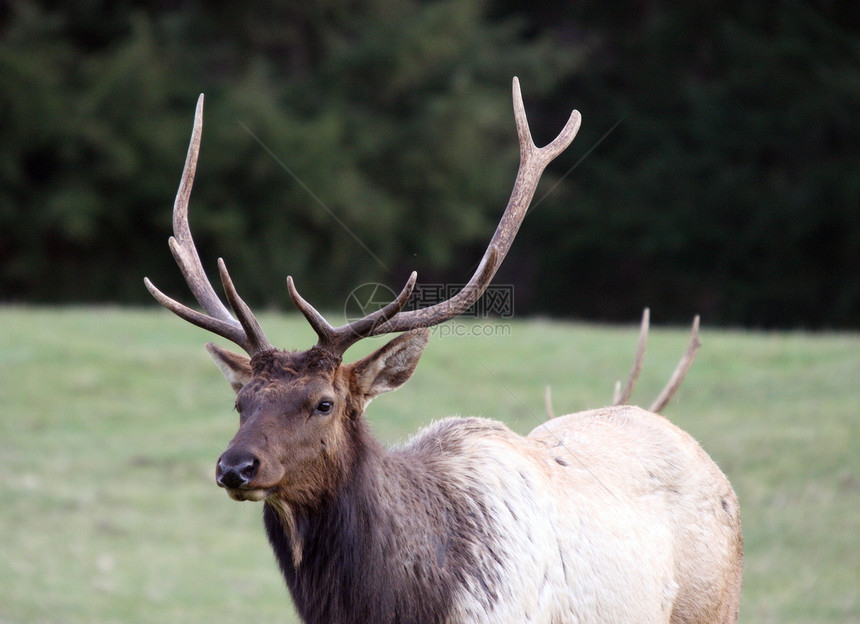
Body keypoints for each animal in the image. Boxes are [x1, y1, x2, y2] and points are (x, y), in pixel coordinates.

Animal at [146, 79, 740, 624]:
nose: (235, 467)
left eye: (324, 403)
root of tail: (712, 466)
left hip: (715, 607)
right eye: (240, 402)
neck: (395, 608)